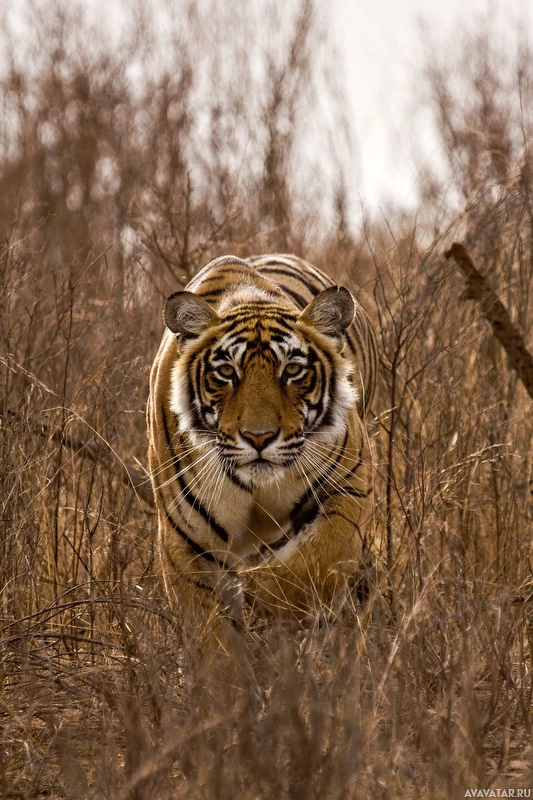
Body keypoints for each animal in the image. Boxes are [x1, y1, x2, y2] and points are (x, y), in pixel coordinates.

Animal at [148, 253, 376, 628]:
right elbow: (209, 632)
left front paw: (261, 595)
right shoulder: (186, 539)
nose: (259, 437)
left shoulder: (350, 486)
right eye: (226, 372)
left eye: (292, 371)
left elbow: (317, 559)